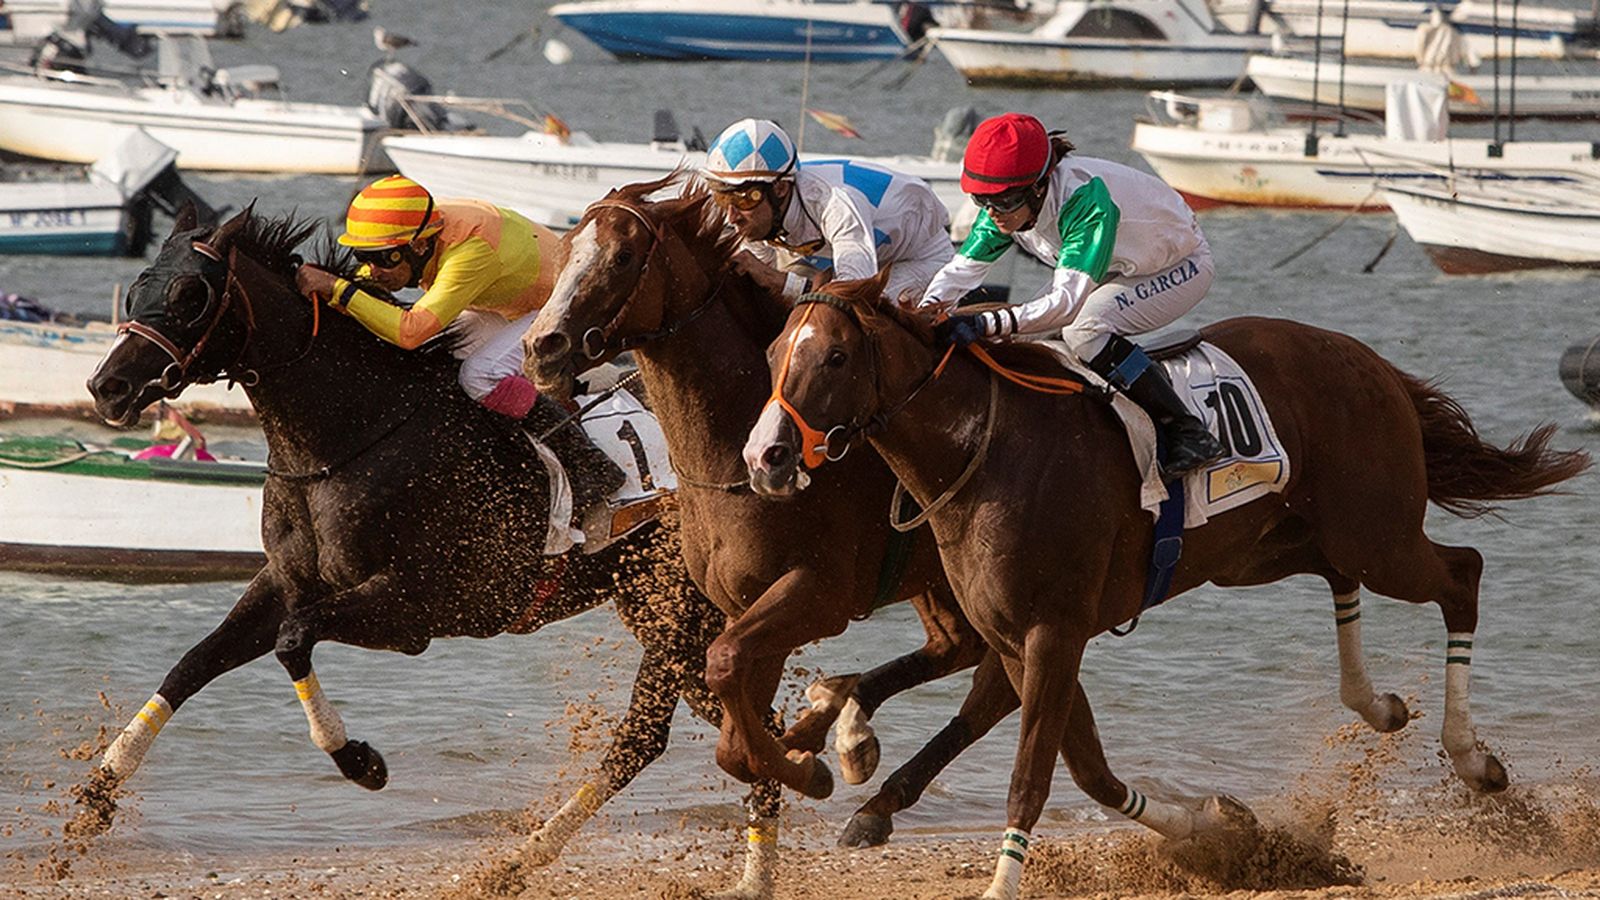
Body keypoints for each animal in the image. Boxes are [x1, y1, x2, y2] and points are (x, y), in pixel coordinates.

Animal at [79, 204, 737, 874]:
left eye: (191, 295)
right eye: (137, 287)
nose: (108, 386)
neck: (350, 438)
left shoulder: (418, 608)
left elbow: (293, 642)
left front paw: (360, 761)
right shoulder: (287, 580)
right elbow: (194, 662)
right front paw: (97, 794)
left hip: (679, 613)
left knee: (645, 736)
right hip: (657, 609)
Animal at [520, 174, 1006, 864]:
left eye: (622, 257)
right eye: (563, 253)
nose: (542, 347)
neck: (737, 447)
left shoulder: (815, 594)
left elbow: (731, 686)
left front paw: (808, 766)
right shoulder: (741, 603)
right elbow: (736, 731)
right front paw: (807, 755)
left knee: (1000, 684)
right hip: (938, 583)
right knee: (958, 649)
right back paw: (852, 741)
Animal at [743, 273, 1591, 900]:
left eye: (836, 360)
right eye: (775, 349)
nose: (767, 456)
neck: (984, 452)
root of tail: (1371, 362)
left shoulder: (1053, 633)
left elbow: (1033, 773)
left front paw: (1000, 882)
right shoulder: (1018, 636)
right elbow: (1084, 765)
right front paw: (1213, 828)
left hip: (1374, 531)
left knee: (1462, 573)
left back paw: (1472, 757)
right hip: (1263, 548)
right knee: (1341, 574)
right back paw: (1375, 703)